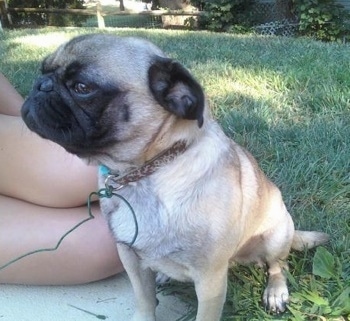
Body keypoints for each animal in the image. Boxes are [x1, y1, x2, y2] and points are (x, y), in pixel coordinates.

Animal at [21, 33, 328, 318]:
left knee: (277, 265)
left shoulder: (210, 281)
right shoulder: (130, 257)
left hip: (277, 236)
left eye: (82, 87)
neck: (143, 172)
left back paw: (276, 292)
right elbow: (144, 299)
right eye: (42, 70)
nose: (41, 85)